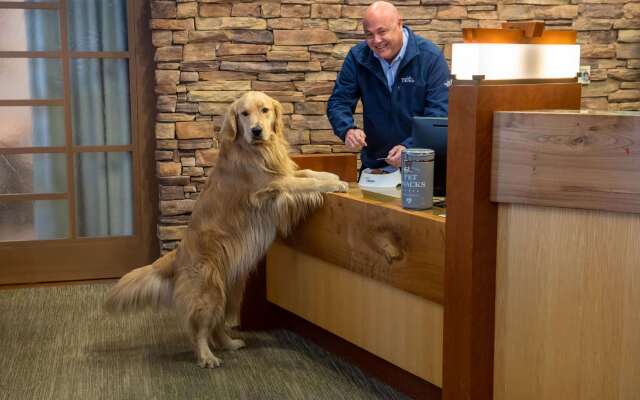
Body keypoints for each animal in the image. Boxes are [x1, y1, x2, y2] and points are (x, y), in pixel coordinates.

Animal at [105, 91, 348, 368]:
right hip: (207, 291)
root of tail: (177, 256)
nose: (256, 131)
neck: (258, 150)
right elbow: (306, 182)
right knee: (200, 329)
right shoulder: (272, 185)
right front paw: (336, 184)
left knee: (217, 323)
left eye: (265, 110)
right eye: (244, 114)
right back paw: (207, 357)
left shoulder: (283, 172)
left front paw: (331, 175)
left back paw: (229, 344)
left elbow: (307, 171)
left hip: (229, 290)